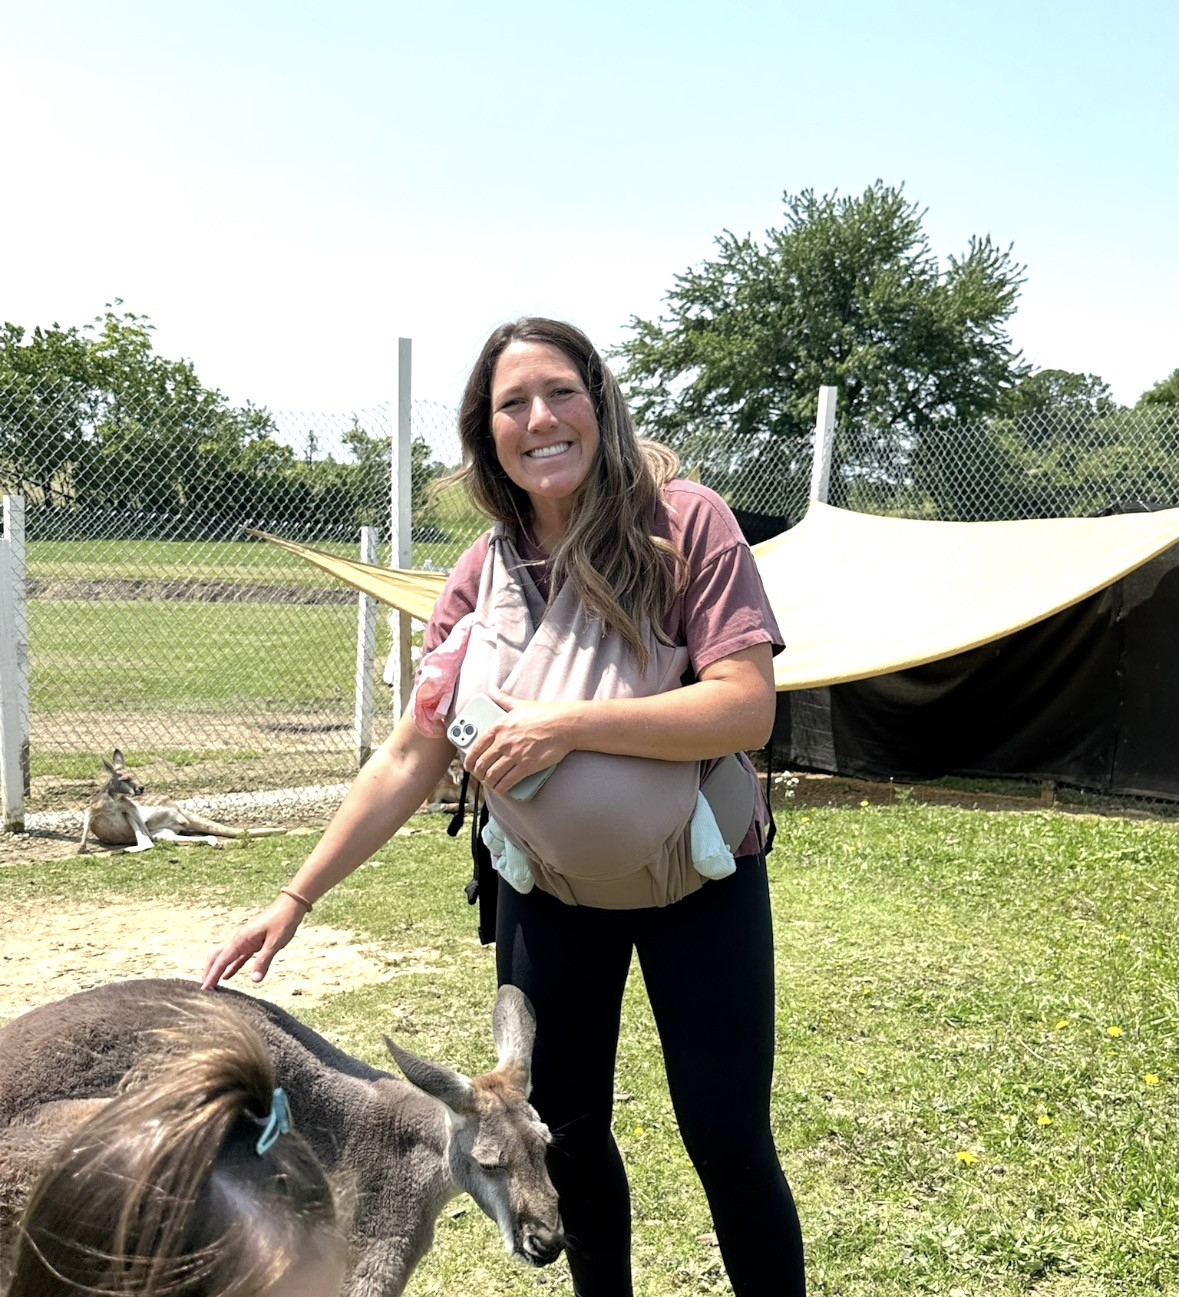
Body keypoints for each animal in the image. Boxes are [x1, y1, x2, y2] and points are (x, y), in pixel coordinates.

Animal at [79, 750, 286, 852]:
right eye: (125, 779)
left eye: (134, 776)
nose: (141, 788)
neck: (113, 800)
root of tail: (177, 807)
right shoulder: (95, 809)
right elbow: (87, 819)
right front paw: (82, 848)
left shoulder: (127, 807)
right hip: (164, 832)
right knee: (154, 839)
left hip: (151, 816)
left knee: (147, 838)